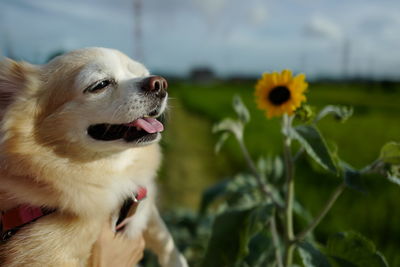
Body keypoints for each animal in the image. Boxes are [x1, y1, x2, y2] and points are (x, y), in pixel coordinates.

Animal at [0, 48, 188, 267]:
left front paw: (177, 260)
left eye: (140, 73)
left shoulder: (142, 202)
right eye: (100, 85)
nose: (159, 83)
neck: (112, 171)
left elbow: (162, 234)